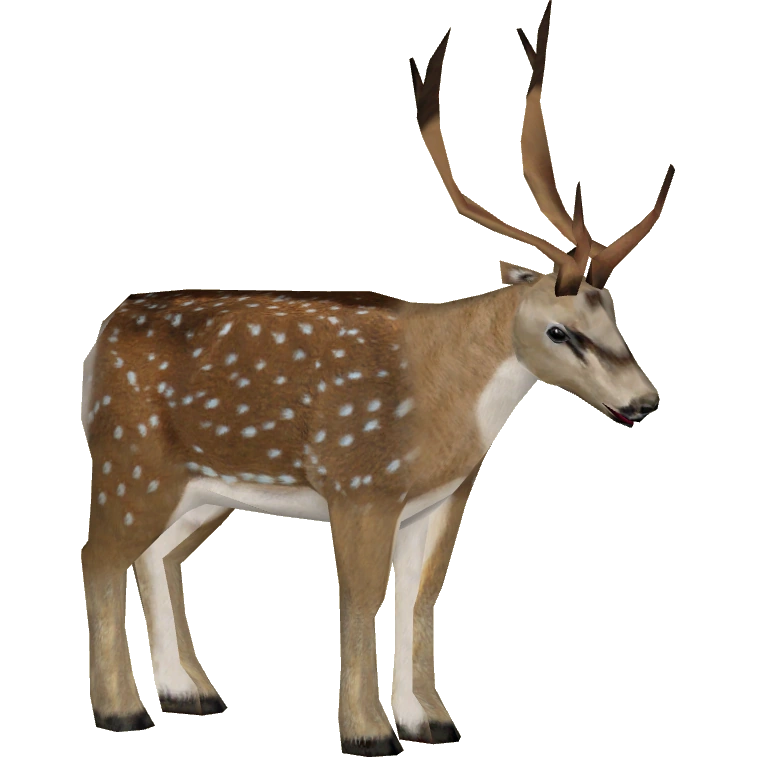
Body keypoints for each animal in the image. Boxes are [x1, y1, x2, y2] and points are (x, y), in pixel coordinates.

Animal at [80, 3, 675, 755]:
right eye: (559, 330)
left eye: (614, 311)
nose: (644, 400)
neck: (446, 401)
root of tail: (104, 332)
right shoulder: (360, 482)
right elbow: (360, 599)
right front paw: (367, 732)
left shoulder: (443, 495)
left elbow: (419, 597)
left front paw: (432, 719)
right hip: (128, 460)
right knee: (98, 555)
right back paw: (121, 711)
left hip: (202, 488)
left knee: (158, 556)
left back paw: (193, 693)